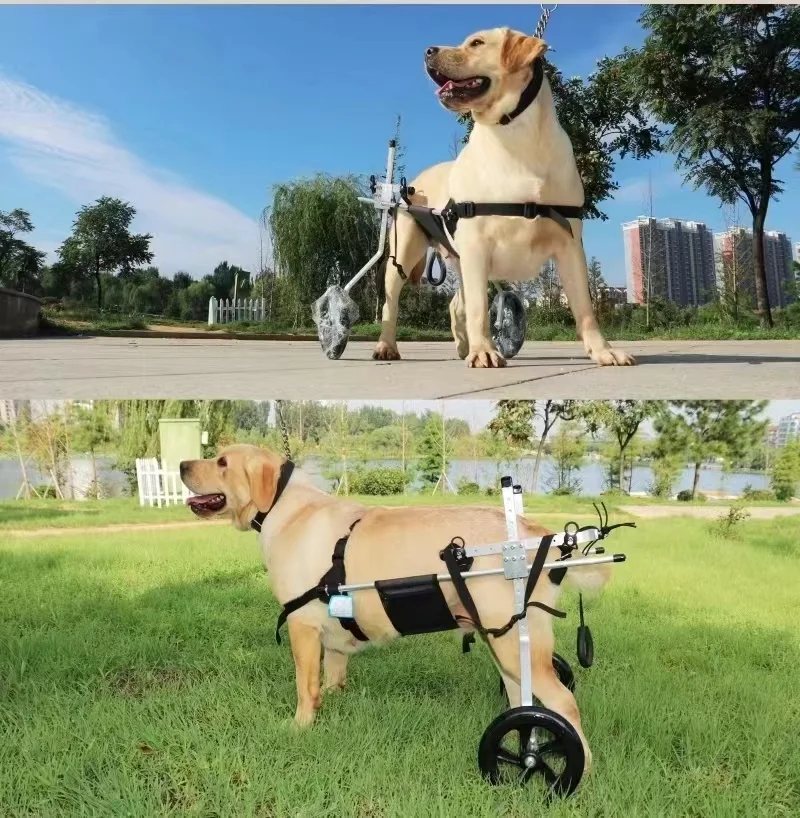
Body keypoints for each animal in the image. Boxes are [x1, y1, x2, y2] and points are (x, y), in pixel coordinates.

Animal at [181, 444, 616, 768]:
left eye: (222, 462)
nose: (183, 464)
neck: (284, 508)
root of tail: (538, 534)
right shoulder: (331, 632)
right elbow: (332, 676)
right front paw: (332, 703)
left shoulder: (301, 625)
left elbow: (305, 686)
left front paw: (300, 726)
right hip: (506, 641)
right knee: (519, 694)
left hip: (512, 642)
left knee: (562, 702)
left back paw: (575, 766)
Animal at [372, 27, 636, 366]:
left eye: (476, 43)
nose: (428, 50)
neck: (516, 137)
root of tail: (414, 182)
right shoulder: (477, 246)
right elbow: (479, 309)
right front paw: (484, 351)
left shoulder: (570, 245)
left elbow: (585, 308)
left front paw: (603, 351)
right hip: (405, 252)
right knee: (391, 303)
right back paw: (387, 346)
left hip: (460, 259)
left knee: (456, 304)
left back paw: (462, 346)